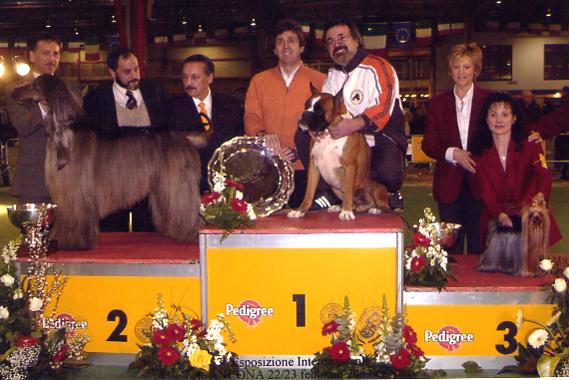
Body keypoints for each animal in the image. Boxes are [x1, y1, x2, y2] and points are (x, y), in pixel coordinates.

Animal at [12, 75, 204, 251]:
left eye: (35, 85)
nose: (13, 93)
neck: (68, 132)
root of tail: (185, 137)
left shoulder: (76, 189)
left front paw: (74, 242)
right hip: (163, 185)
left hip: (176, 181)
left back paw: (190, 233)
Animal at [286, 83, 388, 220]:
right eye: (306, 106)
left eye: (319, 110)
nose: (304, 114)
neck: (328, 135)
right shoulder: (313, 168)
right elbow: (309, 192)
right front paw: (300, 211)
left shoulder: (350, 167)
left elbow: (349, 192)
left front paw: (346, 212)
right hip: (335, 187)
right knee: (355, 204)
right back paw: (340, 207)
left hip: (377, 188)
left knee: (385, 206)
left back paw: (375, 209)